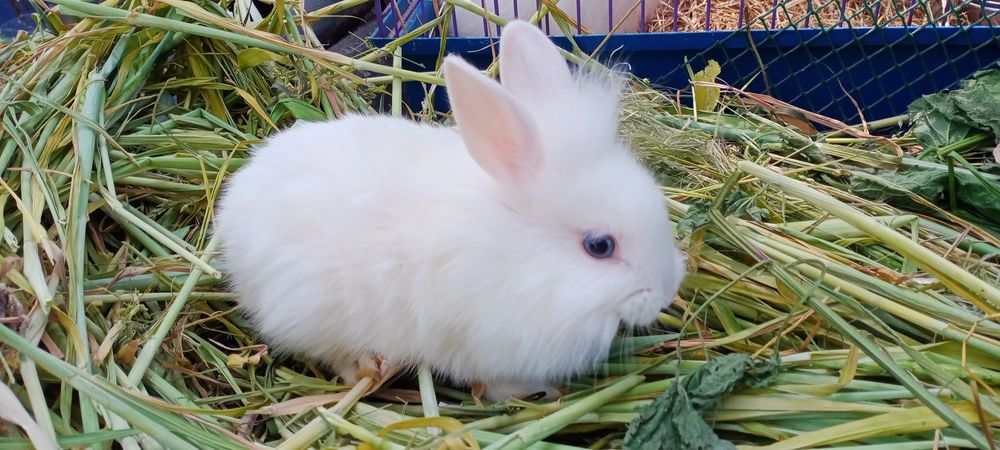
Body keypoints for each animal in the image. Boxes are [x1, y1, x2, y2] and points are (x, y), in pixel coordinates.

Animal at [213, 20, 685, 401]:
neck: (523, 254)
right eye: (599, 246)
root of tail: (233, 209)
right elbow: (495, 384)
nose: (666, 292)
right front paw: (541, 391)